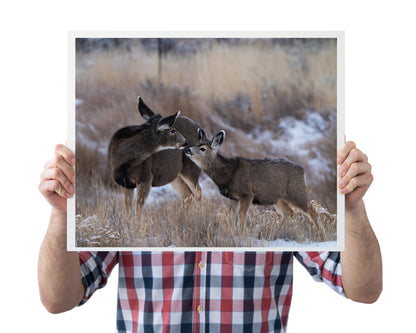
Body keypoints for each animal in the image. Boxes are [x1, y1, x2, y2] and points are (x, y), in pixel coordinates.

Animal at [186, 128, 328, 240]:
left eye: (202, 148)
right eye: (196, 143)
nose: (187, 149)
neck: (229, 174)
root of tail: (303, 171)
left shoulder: (246, 193)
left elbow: (241, 215)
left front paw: (240, 234)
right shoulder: (233, 197)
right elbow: (231, 215)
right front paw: (232, 233)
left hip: (296, 191)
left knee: (313, 211)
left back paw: (322, 237)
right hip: (278, 197)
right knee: (289, 212)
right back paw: (275, 235)